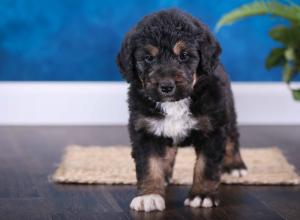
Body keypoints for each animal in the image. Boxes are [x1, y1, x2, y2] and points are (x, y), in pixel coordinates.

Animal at [115, 8, 246, 211]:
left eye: (183, 56)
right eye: (148, 58)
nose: (166, 86)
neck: (175, 103)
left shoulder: (213, 127)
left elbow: (206, 165)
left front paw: (202, 195)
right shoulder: (145, 128)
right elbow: (149, 164)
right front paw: (149, 195)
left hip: (227, 111)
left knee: (232, 137)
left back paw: (235, 165)